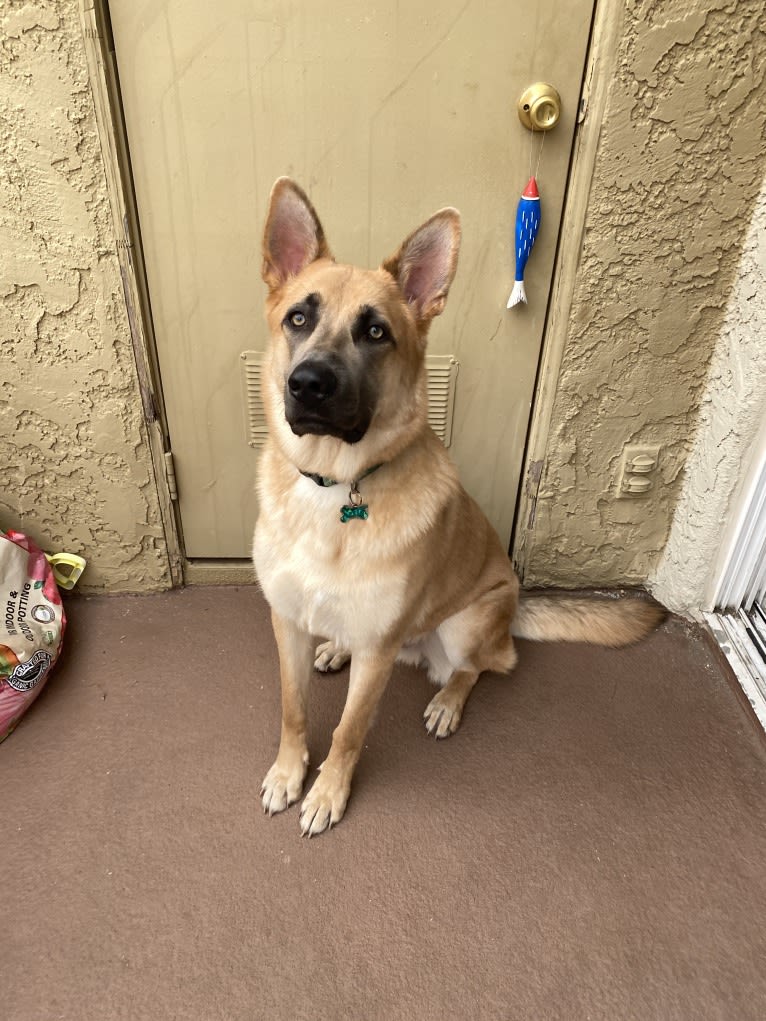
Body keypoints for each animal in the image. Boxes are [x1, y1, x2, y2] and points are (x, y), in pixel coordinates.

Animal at [253, 179, 665, 833]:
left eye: (376, 333)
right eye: (299, 318)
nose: (309, 384)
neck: (334, 484)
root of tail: (513, 605)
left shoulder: (377, 654)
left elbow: (347, 732)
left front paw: (326, 793)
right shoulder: (286, 622)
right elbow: (294, 713)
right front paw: (289, 773)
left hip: (466, 622)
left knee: (485, 666)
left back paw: (447, 702)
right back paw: (338, 647)